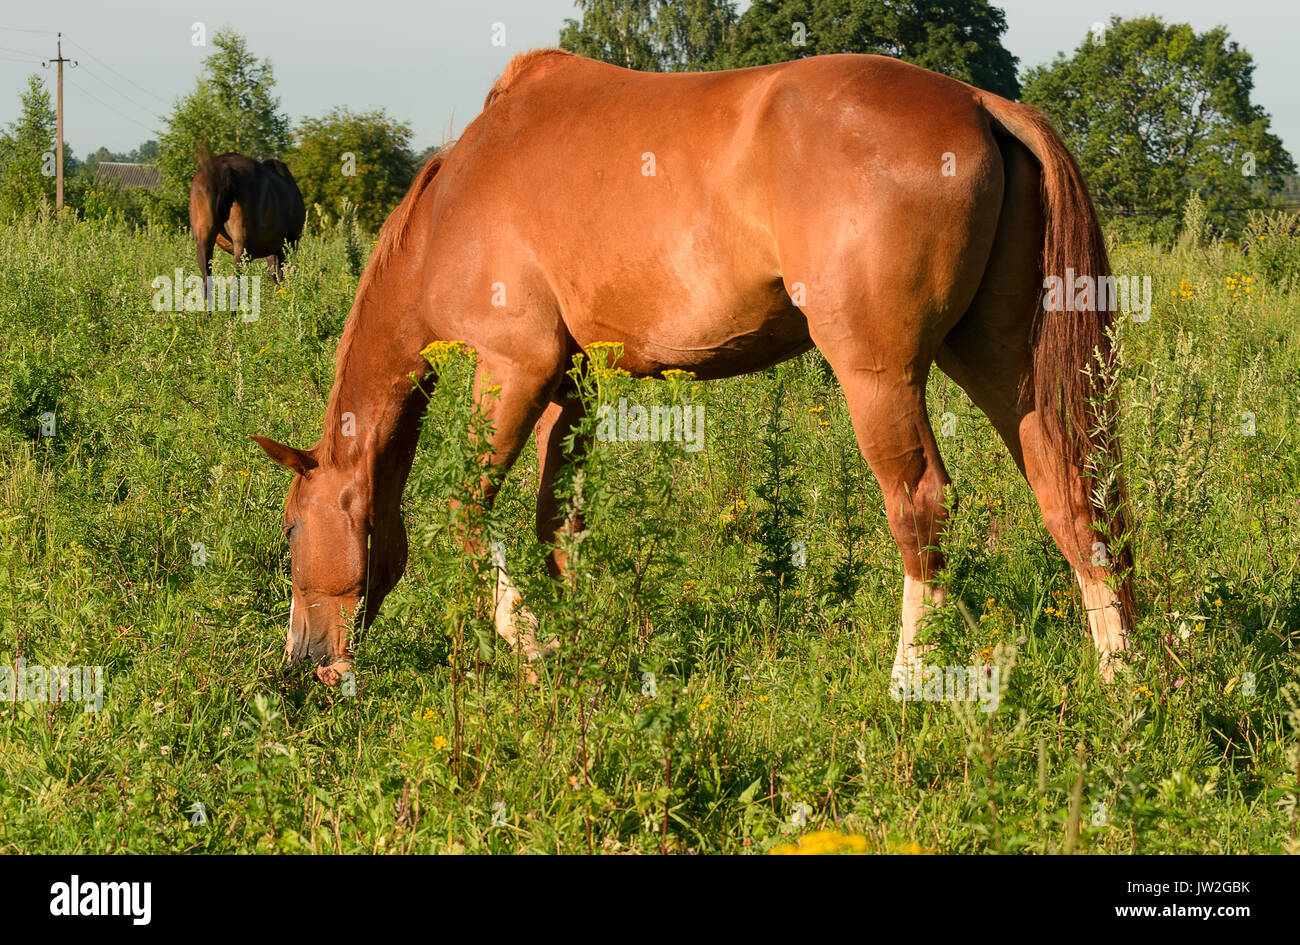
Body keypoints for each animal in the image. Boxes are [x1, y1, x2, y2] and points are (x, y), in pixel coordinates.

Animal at [250, 48, 1128, 686]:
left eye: (290, 532)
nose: (305, 664)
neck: (453, 203)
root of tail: (982, 104)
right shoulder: (572, 386)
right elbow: (554, 521)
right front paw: (574, 634)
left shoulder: (513, 368)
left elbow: (472, 512)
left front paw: (534, 647)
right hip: (1004, 366)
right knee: (1070, 492)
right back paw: (1120, 675)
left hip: (881, 377)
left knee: (922, 507)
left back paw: (909, 681)